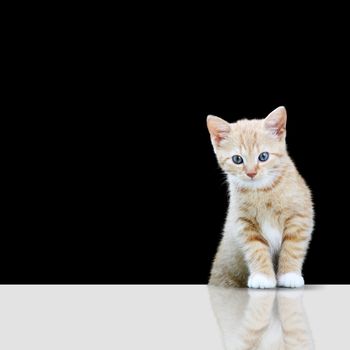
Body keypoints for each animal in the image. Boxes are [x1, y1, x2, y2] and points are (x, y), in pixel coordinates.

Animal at [208, 108, 314, 288]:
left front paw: (289, 275)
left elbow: (292, 247)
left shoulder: (299, 216)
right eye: (237, 159)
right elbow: (255, 249)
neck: (262, 192)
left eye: (263, 156)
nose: (251, 173)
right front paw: (262, 277)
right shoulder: (244, 223)